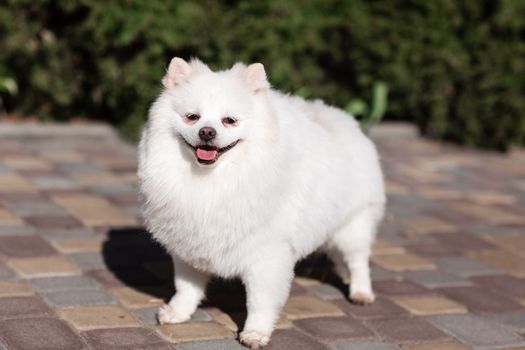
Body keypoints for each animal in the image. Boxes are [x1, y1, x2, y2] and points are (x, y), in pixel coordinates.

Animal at [138, 57, 384, 348]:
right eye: (192, 117)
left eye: (229, 120)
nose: (207, 132)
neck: (215, 180)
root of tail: (345, 119)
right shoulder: (189, 243)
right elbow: (186, 287)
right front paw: (178, 312)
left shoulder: (267, 254)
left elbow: (260, 301)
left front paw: (255, 332)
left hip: (353, 224)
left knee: (358, 260)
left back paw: (361, 292)